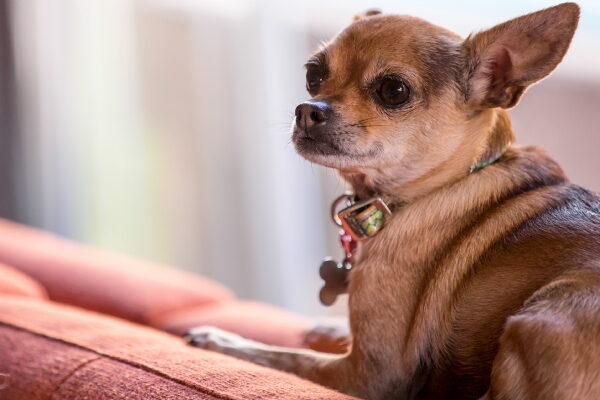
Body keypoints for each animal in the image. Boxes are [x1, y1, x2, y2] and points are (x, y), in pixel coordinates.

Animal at [188, 3, 600, 400]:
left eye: (393, 90)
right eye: (313, 74)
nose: (307, 109)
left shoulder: (369, 375)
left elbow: (284, 358)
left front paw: (220, 340)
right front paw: (327, 326)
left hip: (535, 319)